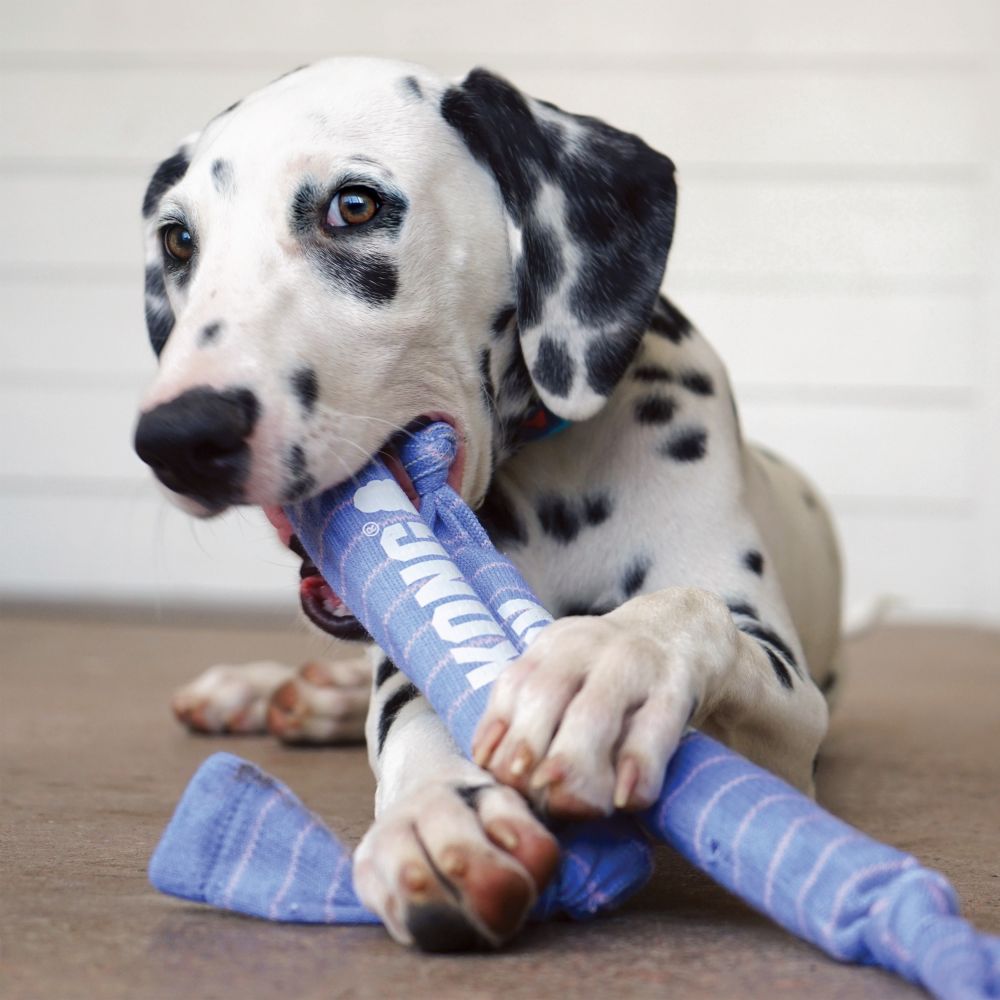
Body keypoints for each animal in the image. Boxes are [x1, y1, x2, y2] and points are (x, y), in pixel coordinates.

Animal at [131, 60, 836, 952]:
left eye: (353, 206)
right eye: (178, 239)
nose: (177, 436)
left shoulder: (792, 706)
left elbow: (685, 610)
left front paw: (603, 663)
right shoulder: (407, 659)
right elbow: (419, 709)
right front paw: (440, 811)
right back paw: (275, 689)